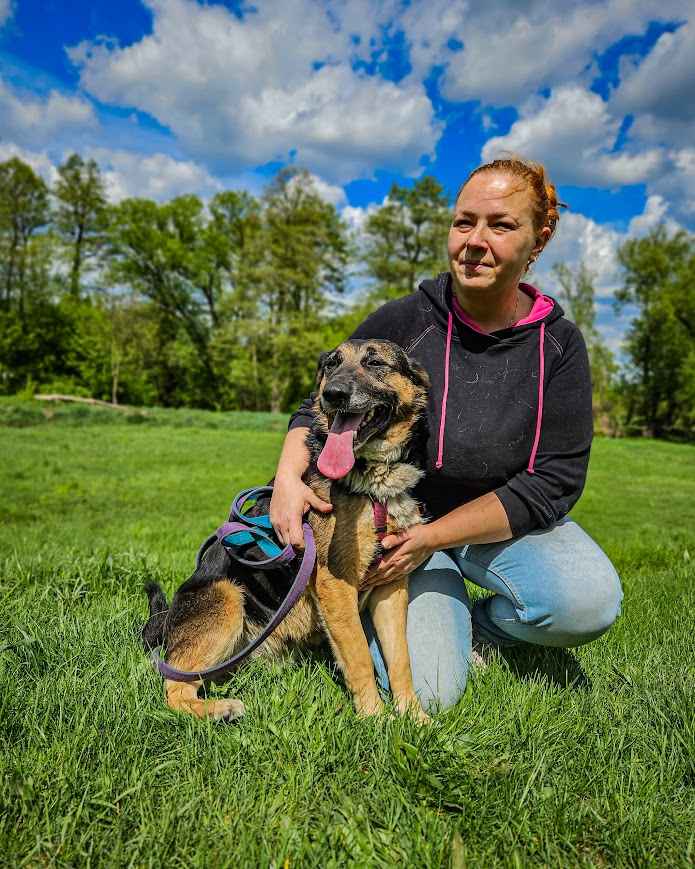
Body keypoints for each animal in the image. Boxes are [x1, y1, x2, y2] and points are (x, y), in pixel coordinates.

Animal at [143, 336, 430, 724]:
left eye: (375, 363)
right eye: (331, 364)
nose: (334, 394)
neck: (373, 483)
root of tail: (168, 621)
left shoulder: (391, 585)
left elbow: (400, 659)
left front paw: (415, 718)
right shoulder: (336, 584)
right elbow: (360, 657)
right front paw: (375, 719)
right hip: (228, 596)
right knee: (173, 687)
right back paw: (221, 708)